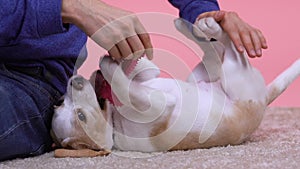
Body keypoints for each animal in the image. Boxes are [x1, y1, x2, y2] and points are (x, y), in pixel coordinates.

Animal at [51, 17, 300, 156]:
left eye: (61, 102)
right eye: (81, 117)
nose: (74, 81)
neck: (113, 118)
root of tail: (264, 99)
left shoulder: (148, 80)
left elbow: (141, 72)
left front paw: (120, 60)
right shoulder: (155, 105)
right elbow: (123, 85)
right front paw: (109, 65)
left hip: (206, 74)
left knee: (215, 49)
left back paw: (199, 25)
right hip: (235, 77)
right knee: (227, 51)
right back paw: (202, 26)